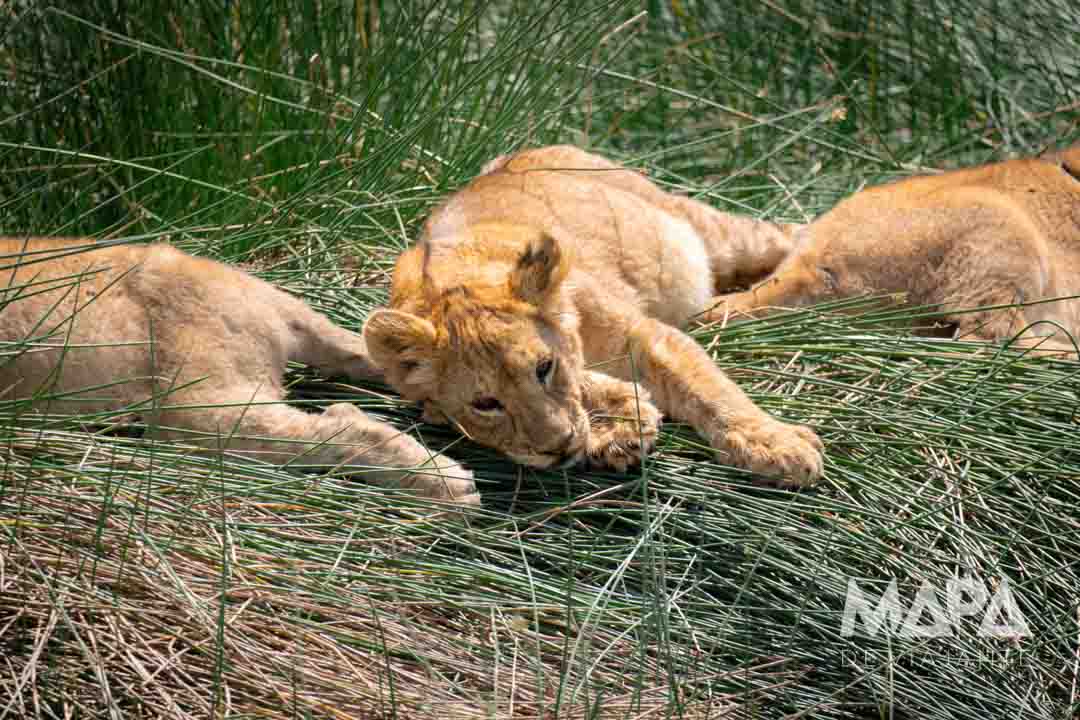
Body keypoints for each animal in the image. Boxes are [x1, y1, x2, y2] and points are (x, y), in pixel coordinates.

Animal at [363, 145, 825, 486]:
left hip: (714, 234)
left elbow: (711, 391)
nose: (559, 446)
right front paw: (619, 427)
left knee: (792, 237)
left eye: (544, 368)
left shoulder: (647, 335)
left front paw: (777, 445)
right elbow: (587, 378)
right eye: (485, 404)